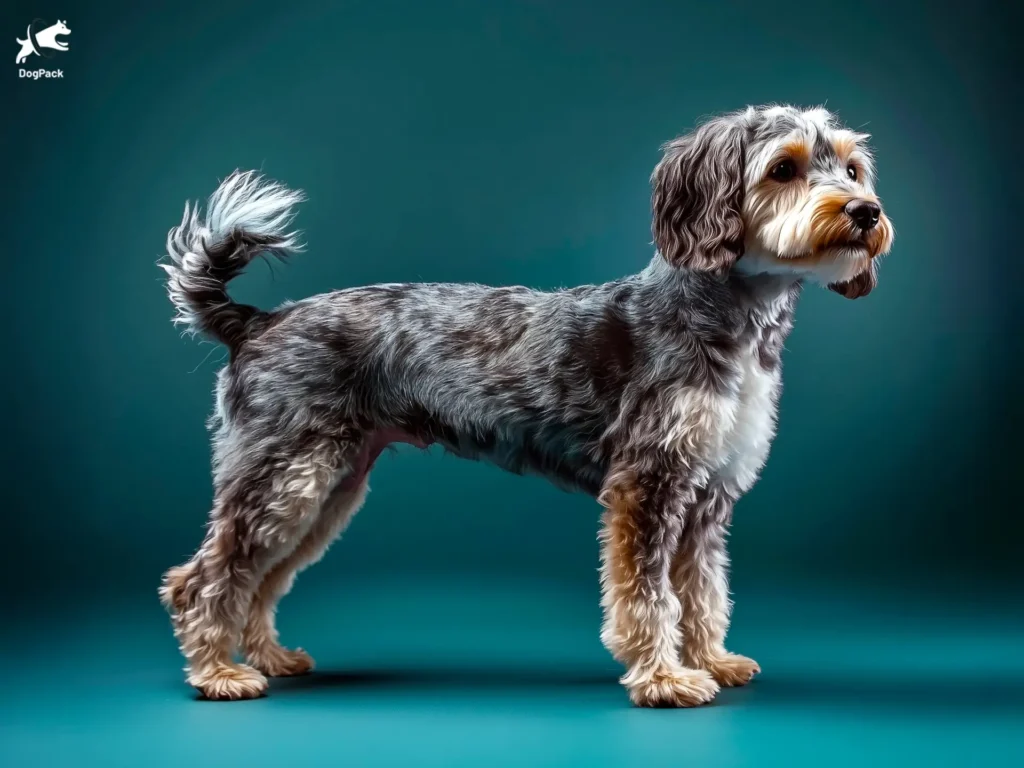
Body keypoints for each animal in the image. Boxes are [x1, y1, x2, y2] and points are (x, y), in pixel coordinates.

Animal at [155, 105, 892, 708]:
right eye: (784, 168)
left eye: (852, 167)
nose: (865, 212)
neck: (725, 317)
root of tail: (256, 322)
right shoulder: (647, 485)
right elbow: (649, 595)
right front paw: (663, 678)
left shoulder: (708, 493)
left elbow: (703, 590)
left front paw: (711, 660)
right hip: (286, 477)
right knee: (203, 578)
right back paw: (219, 674)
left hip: (327, 485)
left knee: (261, 577)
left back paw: (268, 657)